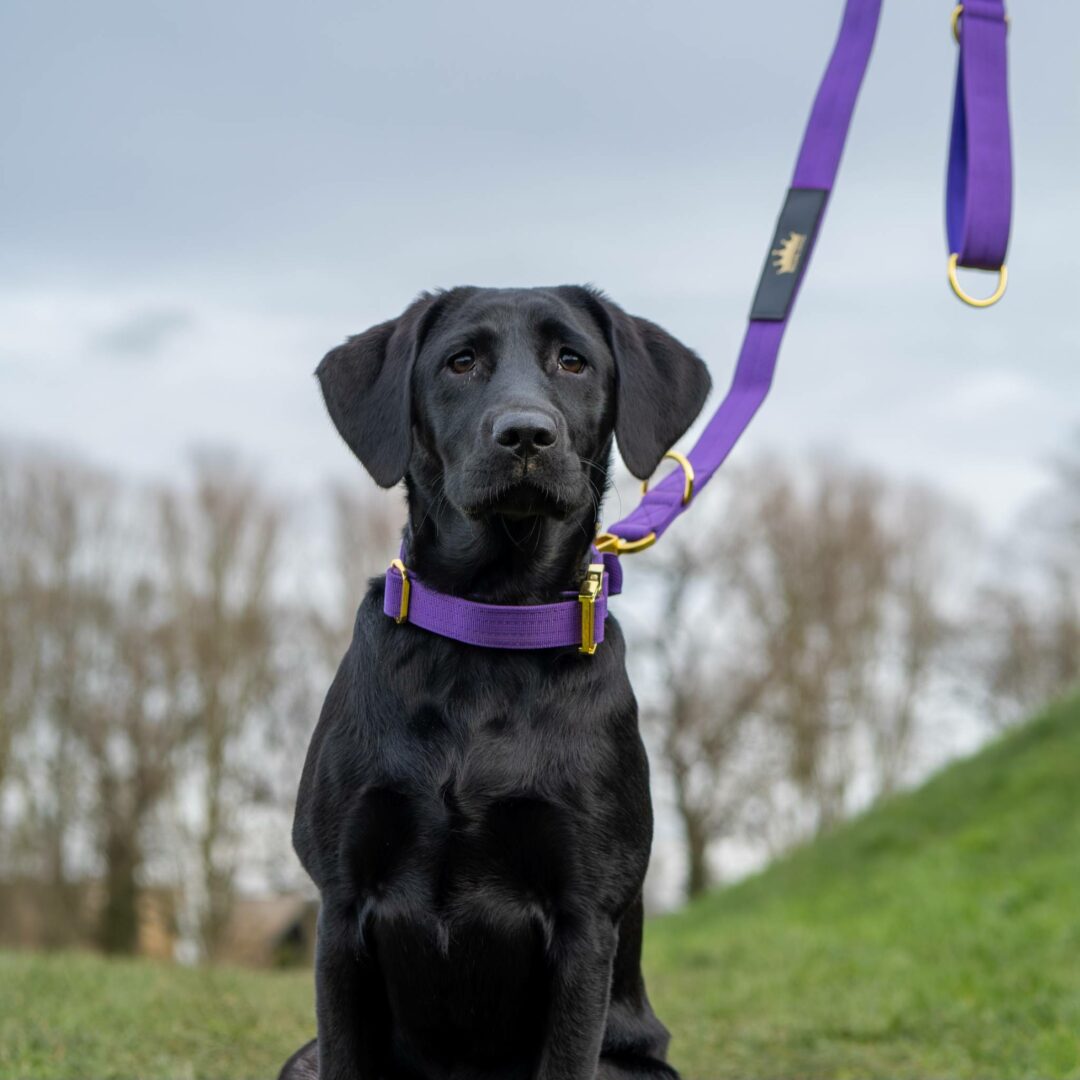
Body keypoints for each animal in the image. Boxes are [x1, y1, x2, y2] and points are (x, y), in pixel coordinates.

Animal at [282, 285, 712, 1080]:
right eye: (461, 361)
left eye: (573, 360)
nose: (526, 435)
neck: (492, 629)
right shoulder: (340, 905)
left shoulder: (584, 920)